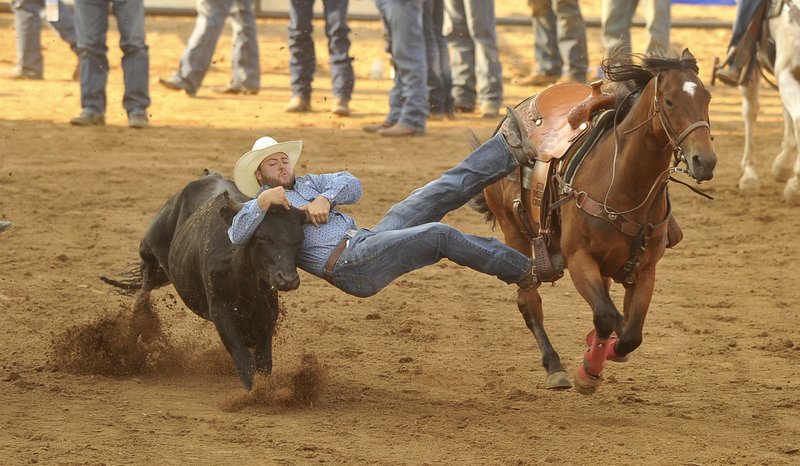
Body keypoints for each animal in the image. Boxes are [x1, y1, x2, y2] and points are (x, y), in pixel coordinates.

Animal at [476, 49, 720, 394]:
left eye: (707, 98)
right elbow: (607, 316)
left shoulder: (646, 269)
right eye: (670, 101)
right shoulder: (579, 259)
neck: (624, 184)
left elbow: (631, 333)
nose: (705, 161)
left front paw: (607, 353)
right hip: (516, 234)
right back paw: (555, 367)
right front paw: (588, 373)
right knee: (529, 301)